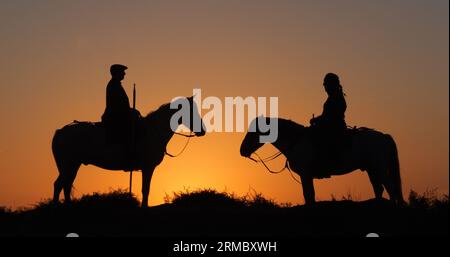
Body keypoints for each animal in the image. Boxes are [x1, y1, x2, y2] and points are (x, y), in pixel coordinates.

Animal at [52, 96, 206, 206]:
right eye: (191, 111)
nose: (202, 131)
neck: (153, 131)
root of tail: (60, 132)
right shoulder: (148, 167)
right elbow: (146, 189)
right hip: (68, 165)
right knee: (60, 185)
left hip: (73, 165)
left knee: (65, 185)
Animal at [241, 117, 402, 205]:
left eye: (254, 131)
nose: (242, 150)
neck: (296, 140)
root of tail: (383, 136)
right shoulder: (306, 176)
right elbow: (309, 195)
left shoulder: (305, 174)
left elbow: (308, 195)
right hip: (371, 169)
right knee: (378, 188)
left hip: (380, 168)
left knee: (390, 188)